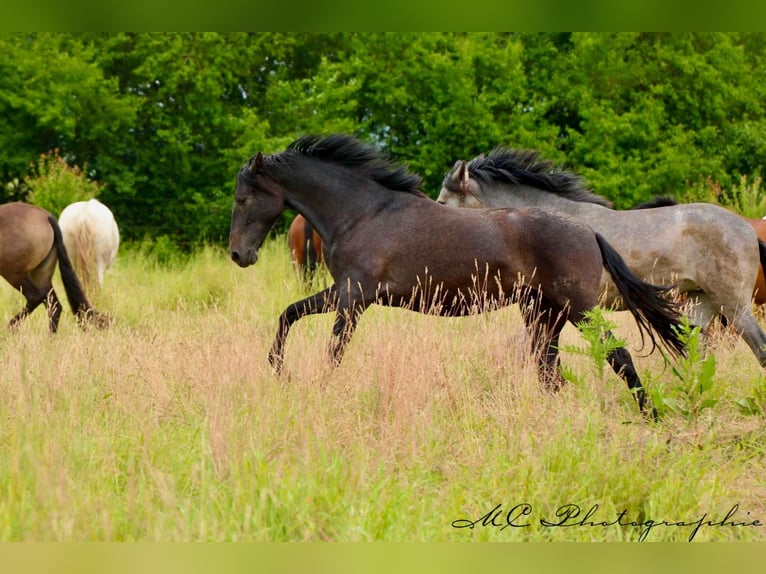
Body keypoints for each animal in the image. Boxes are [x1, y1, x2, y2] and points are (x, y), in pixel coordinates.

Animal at [0, 202, 110, 332]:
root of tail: (47, 217)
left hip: (13, 274)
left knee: (36, 297)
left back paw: (10, 327)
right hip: (40, 275)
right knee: (54, 306)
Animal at [229, 134, 687, 416]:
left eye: (243, 197)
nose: (239, 254)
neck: (362, 213)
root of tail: (589, 232)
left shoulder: (353, 298)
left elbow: (334, 351)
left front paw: (319, 389)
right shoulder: (342, 291)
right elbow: (289, 314)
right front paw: (279, 371)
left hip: (579, 309)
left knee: (617, 355)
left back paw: (652, 415)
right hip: (544, 314)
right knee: (549, 372)